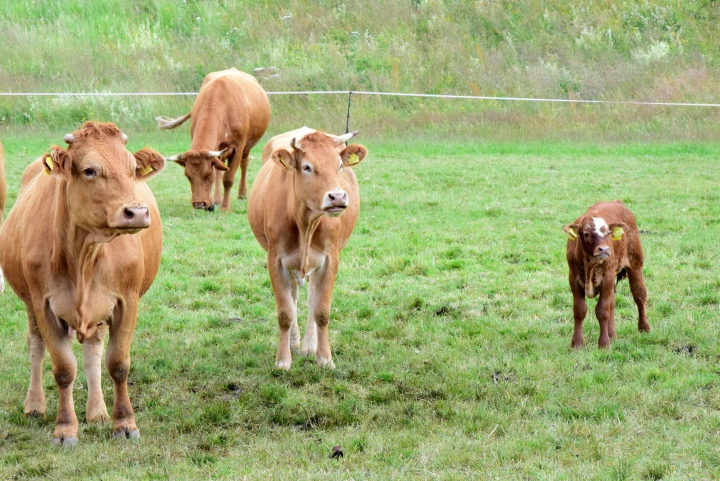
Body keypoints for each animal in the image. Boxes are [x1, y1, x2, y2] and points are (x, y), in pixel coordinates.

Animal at [0, 122, 166, 444]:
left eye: (132, 169)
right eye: (90, 170)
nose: (137, 212)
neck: (83, 254)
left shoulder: (127, 301)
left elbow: (118, 364)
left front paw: (125, 423)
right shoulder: (43, 304)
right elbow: (63, 368)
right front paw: (65, 429)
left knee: (93, 351)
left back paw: (98, 411)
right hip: (29, 303)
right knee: (36, 345)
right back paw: (35, 405)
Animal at [157, 68, 270, 211]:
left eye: (207, 175)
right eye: (188, 176)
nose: (199, 204)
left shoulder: (238, 147)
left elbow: (228, 178)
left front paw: (225, 207)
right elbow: (218, 172)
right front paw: (214, 202)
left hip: (247, 146)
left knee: (244, 163)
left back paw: (242, 194)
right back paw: (217, 199)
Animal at [564, 201, 652, 346]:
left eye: (608, 233)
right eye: (586, 233)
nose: (604, 249)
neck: (590, 266)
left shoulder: (607, 276)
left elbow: (602, 310)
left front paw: (604, 343)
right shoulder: (574, 277)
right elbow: (579, 310)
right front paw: (577, 343)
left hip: (635, 263)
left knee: (639, 294)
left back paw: (644, 327)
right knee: (612, 302)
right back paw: (612, 334)